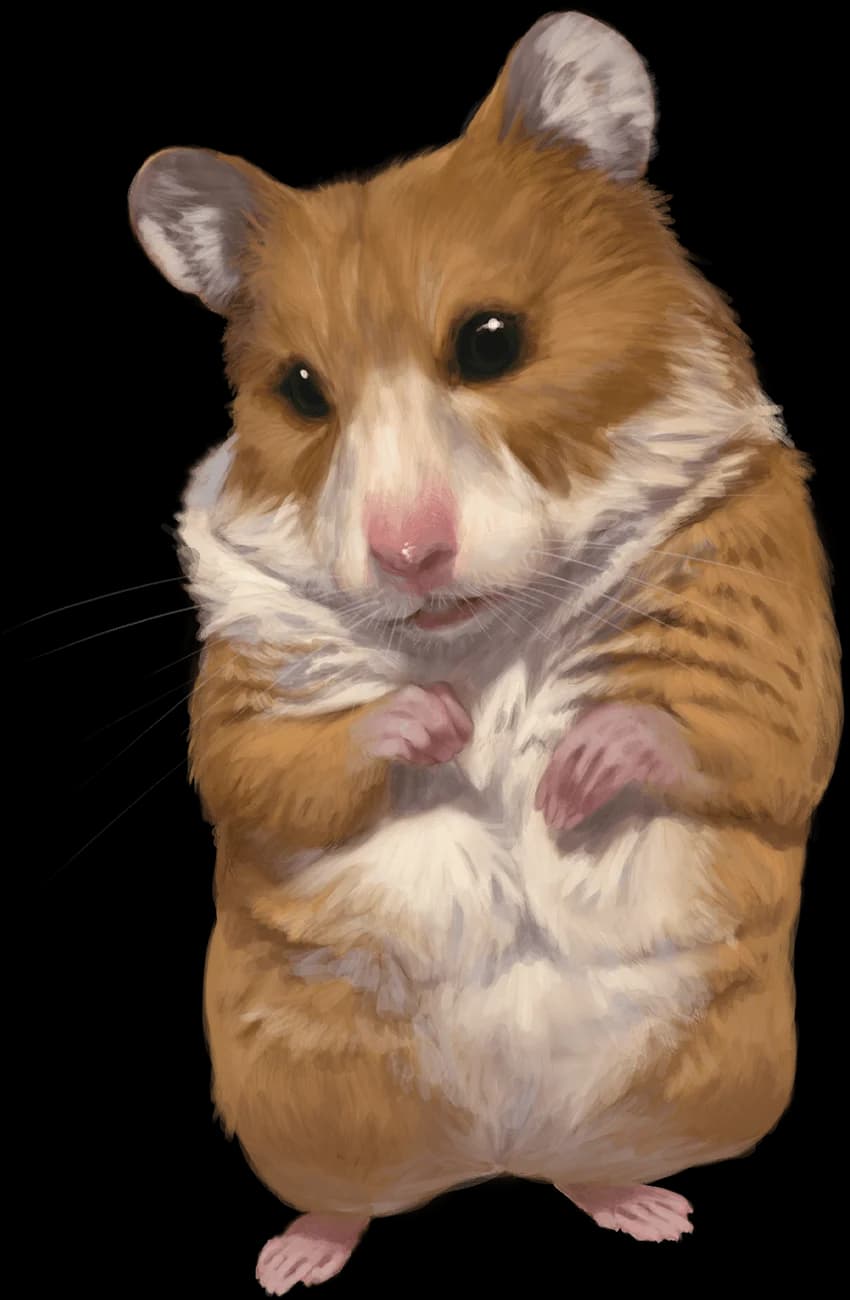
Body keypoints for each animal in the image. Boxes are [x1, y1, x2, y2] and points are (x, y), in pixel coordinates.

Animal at [129, 11, 841, 1295]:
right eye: (300, 390)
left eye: (492, 341)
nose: (408, 555)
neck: (489, 629)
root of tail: (495, 1155)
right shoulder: (249, 676)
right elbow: (267, 765)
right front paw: (444, 730)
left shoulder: (764, 624)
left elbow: (747, 732)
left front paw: (565, 777)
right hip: (308, 1104)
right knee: (353, 1195)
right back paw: (293, 1258)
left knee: (587, 1168)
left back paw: (647, 1208)